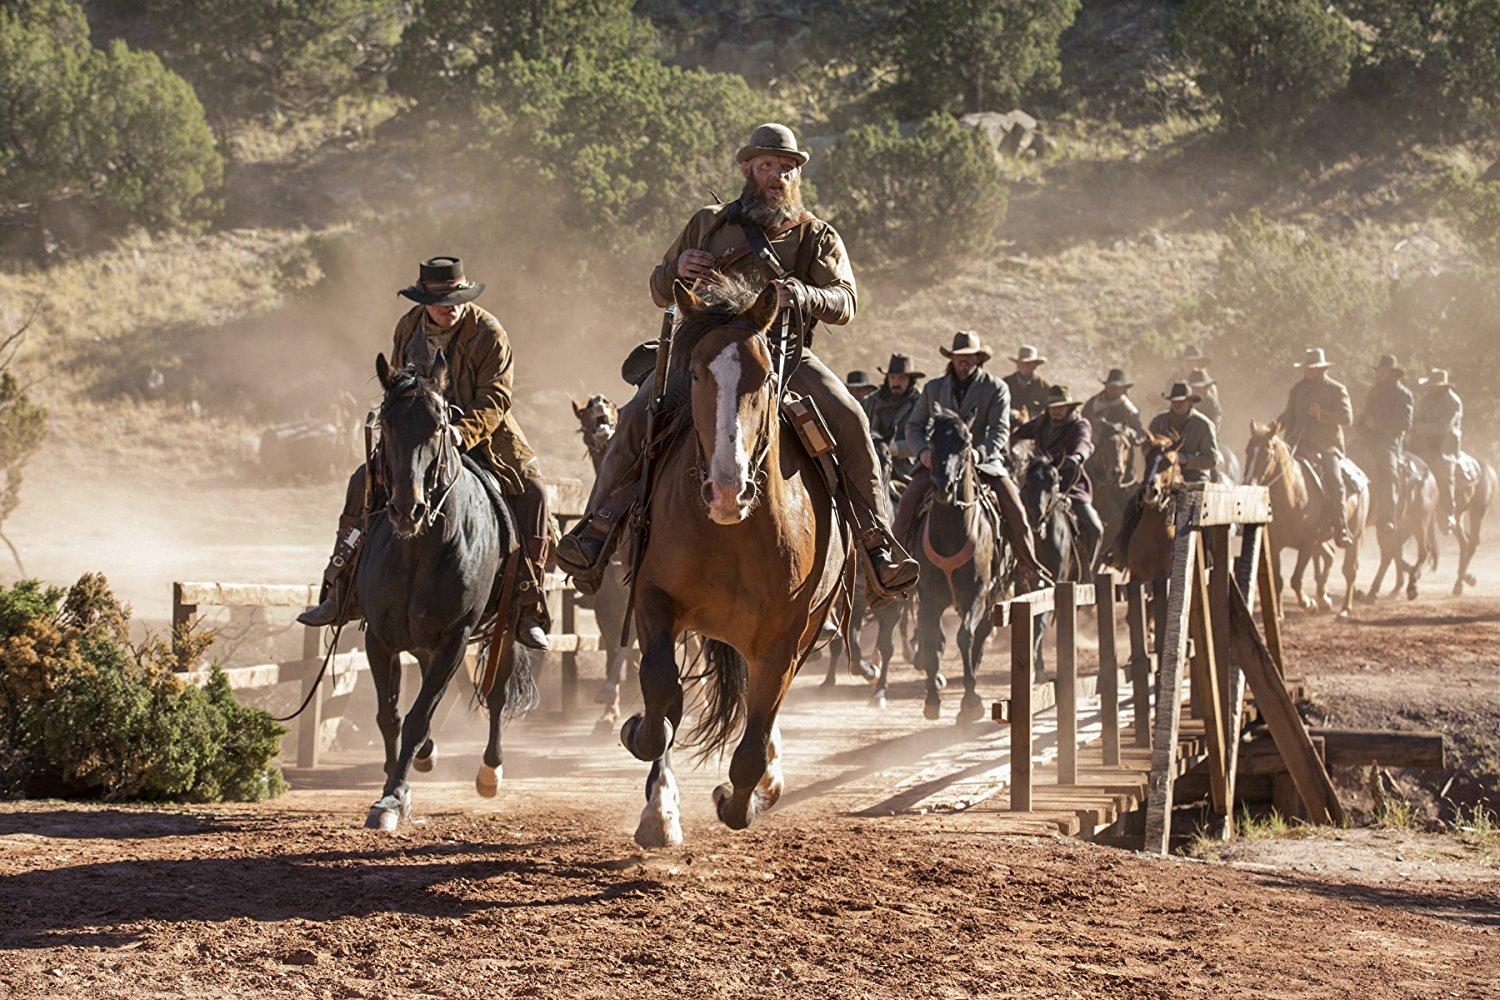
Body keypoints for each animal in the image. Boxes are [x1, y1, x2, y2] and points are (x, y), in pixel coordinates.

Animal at [615, 277, 852, 851]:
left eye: (764, 374)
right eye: (696, 372)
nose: (728, 489)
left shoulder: (785, 639)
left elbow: (753, 741)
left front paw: (743, 798)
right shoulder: (654, 599)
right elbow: (662, 695)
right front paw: (645, 753)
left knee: (759, 717)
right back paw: (659, 809)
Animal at [906, 404, 1002, 719]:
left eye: (965, 443)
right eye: (933, 441)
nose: (942, 487)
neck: (950, 534)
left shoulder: (977, 593)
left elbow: (965, 637)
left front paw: (971, 701)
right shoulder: (928, 597)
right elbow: (929, 638)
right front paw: (932, 698)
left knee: (979, 634)